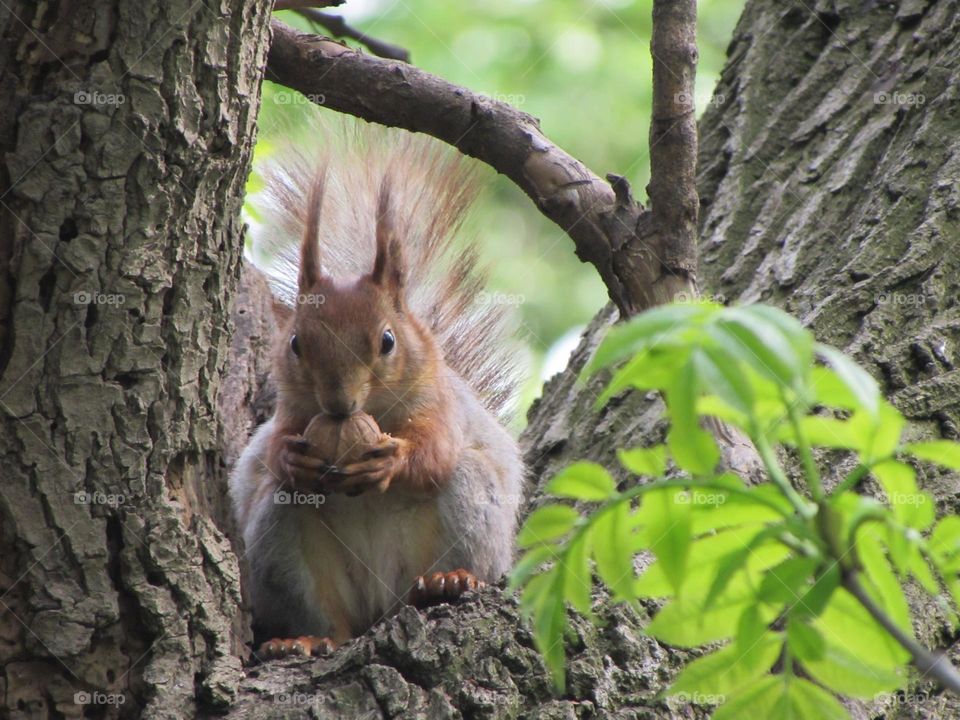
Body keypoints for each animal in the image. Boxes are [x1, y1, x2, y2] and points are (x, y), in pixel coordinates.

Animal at [228, 128, 524, 660]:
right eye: (296, 342)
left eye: (387, 340)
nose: (338, 404)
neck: (372, 409)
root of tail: (380, 604)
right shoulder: (291, 411)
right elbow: (273, 449)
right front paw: (290, 457)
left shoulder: (440, 405)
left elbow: (434, 450)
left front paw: (391, 462)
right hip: (281, 547)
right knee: (324, 611)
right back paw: (305, 638)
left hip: (470, 508)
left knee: (458, 496)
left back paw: (449, 581)